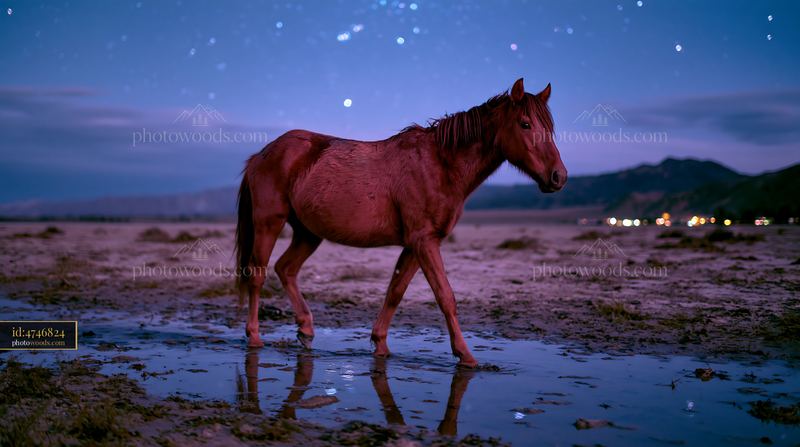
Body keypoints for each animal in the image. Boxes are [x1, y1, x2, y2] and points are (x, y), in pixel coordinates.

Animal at [235, 78, 567, 367]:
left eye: (549, 127)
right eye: (525, 124)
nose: (558, 177)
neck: (440, 164)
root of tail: (261, 155)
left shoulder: (417, 244)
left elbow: (395, 292)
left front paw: (380, 344)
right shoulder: (424, 241)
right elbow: (445, 296)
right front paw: (466, 356)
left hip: (308, 233)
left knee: (286, 269)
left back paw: (305, 329)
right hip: (269, 224)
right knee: (258, 275)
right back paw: (254, 337)